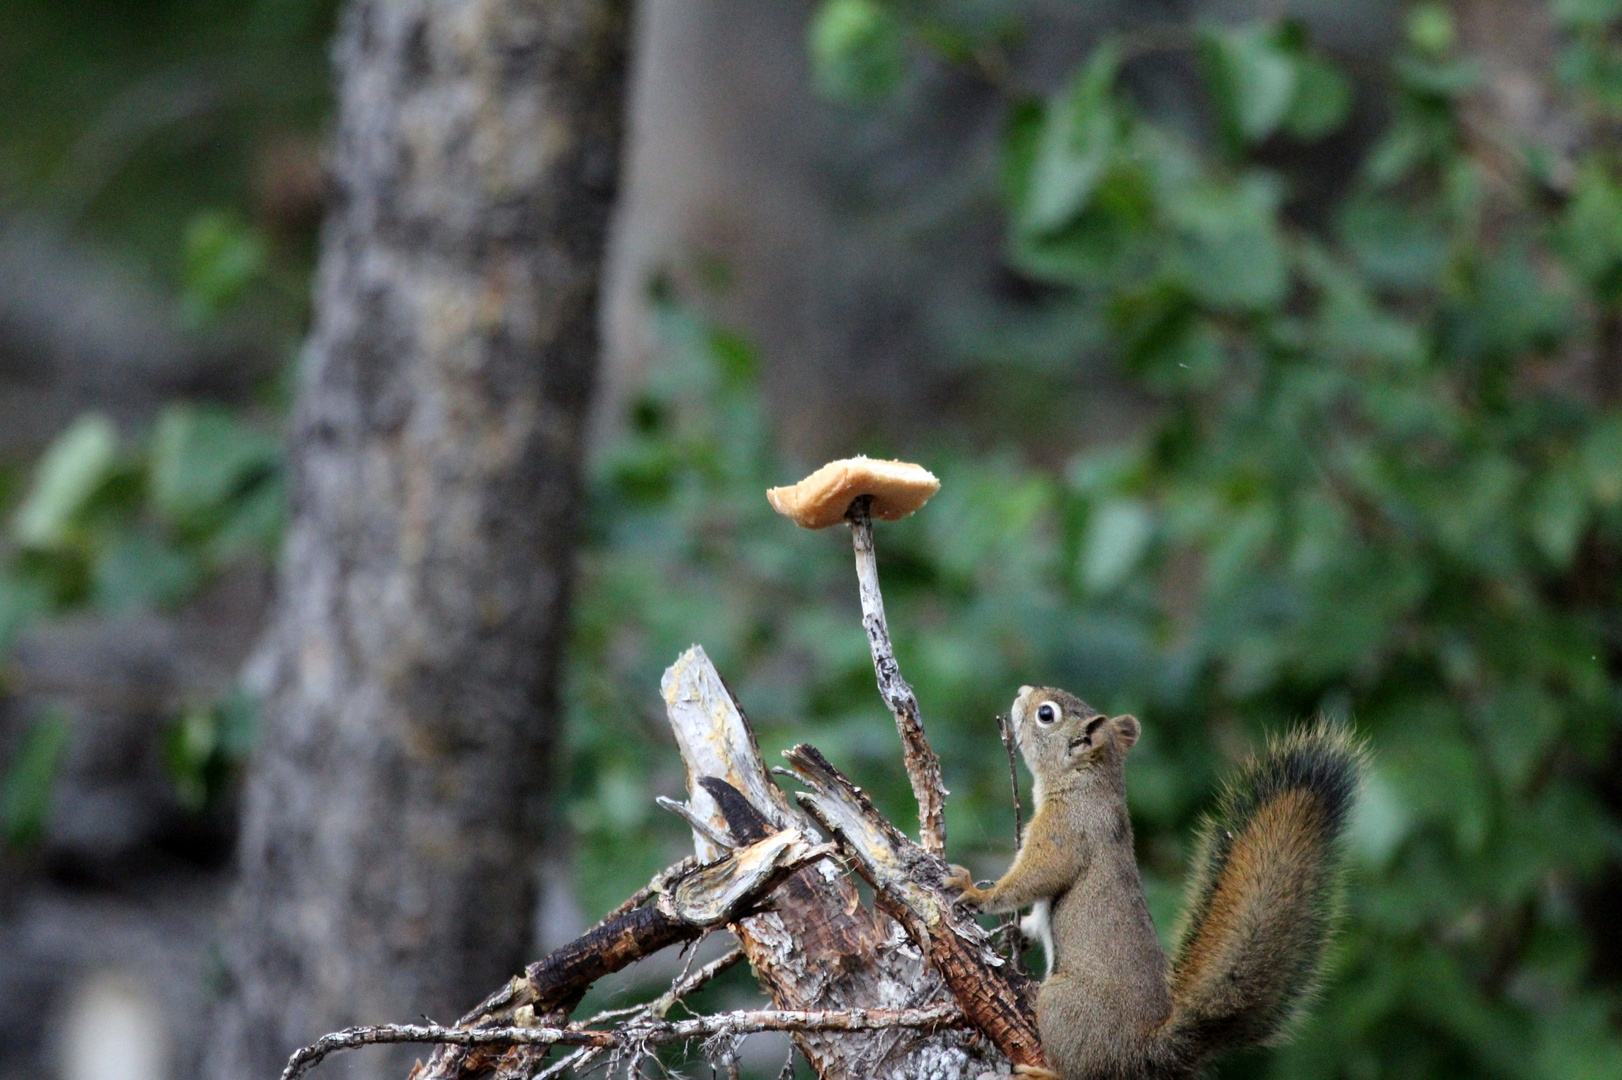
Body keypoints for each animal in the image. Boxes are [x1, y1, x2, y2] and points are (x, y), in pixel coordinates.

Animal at [947, 684, 1362, 1070]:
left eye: (1046, 714)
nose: (1022, 691)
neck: (1085, 785)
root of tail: (1146, 1052)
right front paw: (1020, 931)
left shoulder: (1065, 834)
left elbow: (1033, 879)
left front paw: (975, 892)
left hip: (1063, 1002)